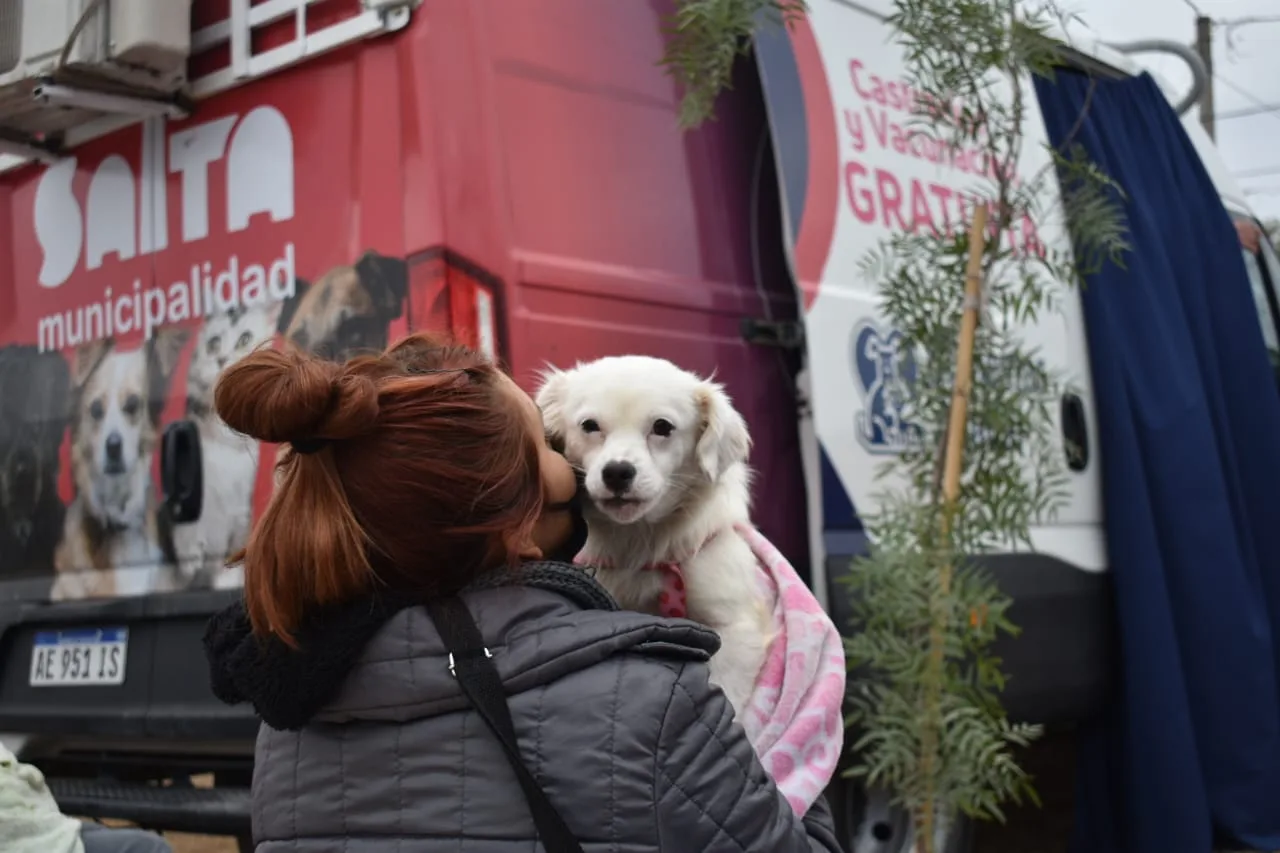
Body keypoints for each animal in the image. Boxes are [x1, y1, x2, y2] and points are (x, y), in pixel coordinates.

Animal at [537, 350, 773, 712]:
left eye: (662, 427)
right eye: (589, 425)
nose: (617, 472)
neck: (640, 539)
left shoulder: (735, 623)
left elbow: (727, 691)